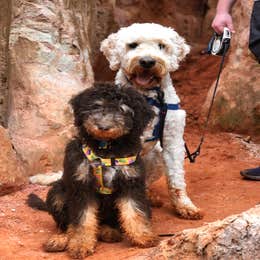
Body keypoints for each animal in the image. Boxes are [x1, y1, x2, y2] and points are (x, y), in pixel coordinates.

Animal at [29, 83, 157, 258]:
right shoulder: (81, 186)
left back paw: (108, 231)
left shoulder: (131, 182)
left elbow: (135, 210)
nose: (103, 127)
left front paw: (143, 236)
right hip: (57, 193)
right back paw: (60, 239)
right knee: (65, 224)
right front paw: (80, 244)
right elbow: (82, 219)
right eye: (96, 106)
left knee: (109, 222)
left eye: (122, 109)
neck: (106, 149)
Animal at [100, 23, 203, 219]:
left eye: (161, 45)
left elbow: (176, 179)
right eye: (133, 45)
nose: (147, 61)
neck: (147, 96)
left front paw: (185, 206)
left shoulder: (172, 141)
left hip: (156, 156)